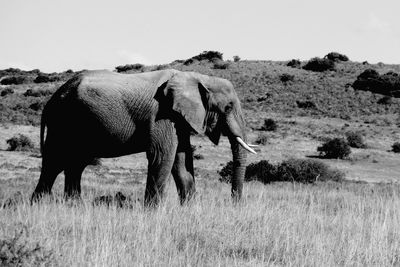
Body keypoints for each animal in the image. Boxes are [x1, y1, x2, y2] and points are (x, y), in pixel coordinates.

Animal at [31, 68, 256, 205]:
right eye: (228, 107)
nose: (234, 203)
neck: (196, 77)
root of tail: (50, 101)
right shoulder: (162, 115)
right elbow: (162, 155)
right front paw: (153, 212)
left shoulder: (179, 119)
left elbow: (182, 160)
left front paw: (190, 210)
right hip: (63, 123)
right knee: (55, 162)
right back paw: (39, 205)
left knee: (74, 165)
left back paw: (74, 205)